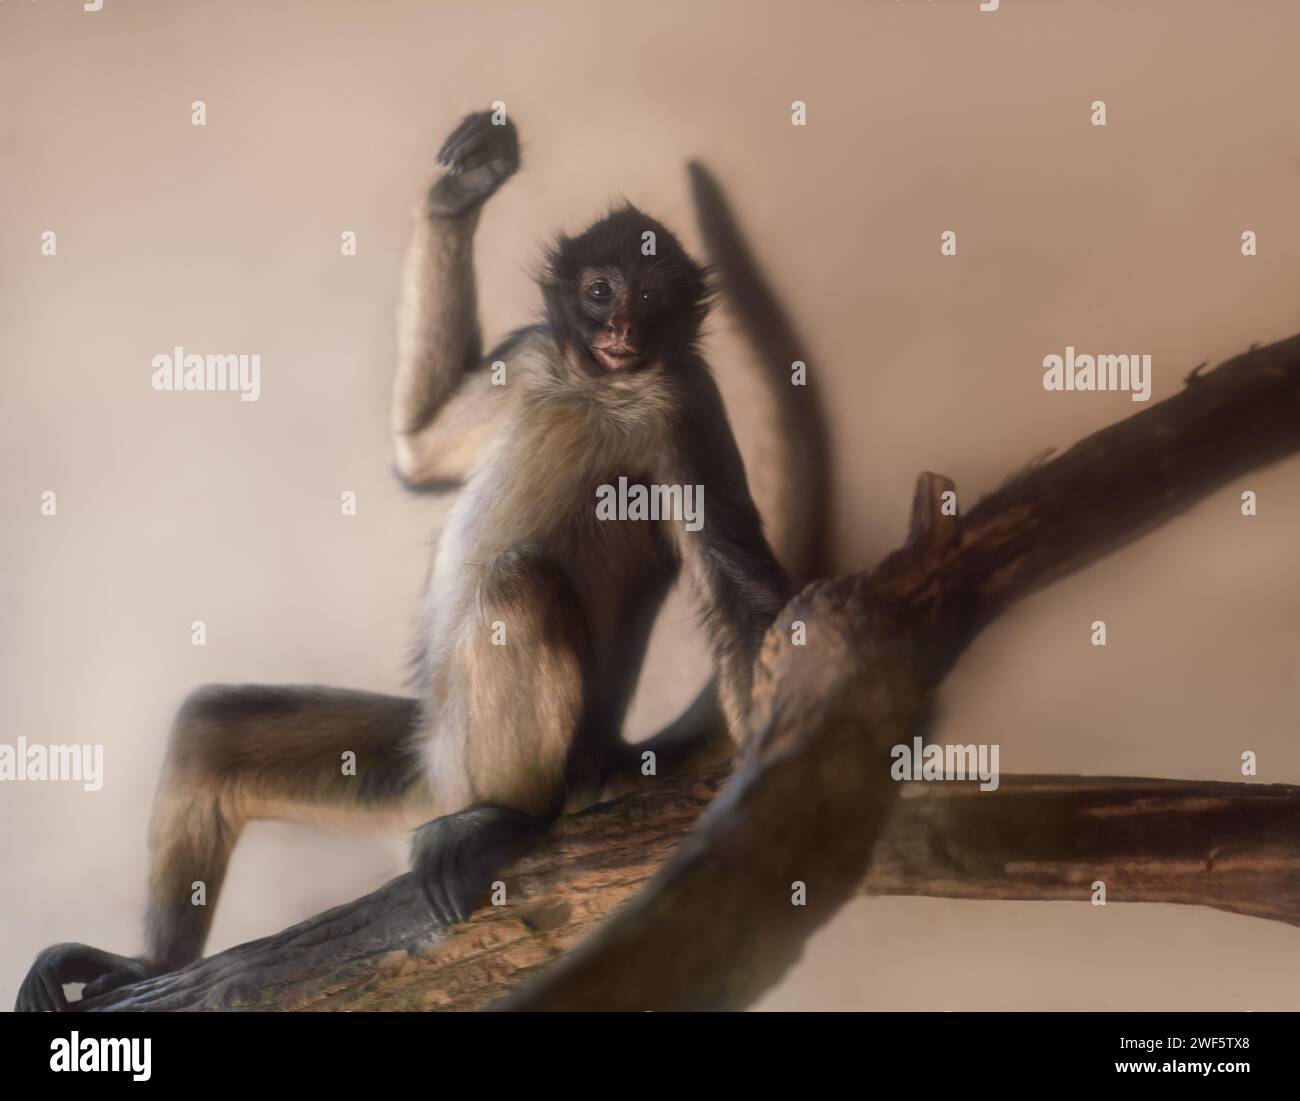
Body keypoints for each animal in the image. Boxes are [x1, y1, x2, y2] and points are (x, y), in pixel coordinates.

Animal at [15, 109, 792, 1011]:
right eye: (601, 291)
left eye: (651, 298)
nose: (619, 331)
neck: (598, 385)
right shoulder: (537, 352)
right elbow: (419, 456)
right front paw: (465, 187)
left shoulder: (684, 404)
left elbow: (736, 590)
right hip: (420, 753)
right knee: (211, 725)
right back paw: (150, 965)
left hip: (477, 755)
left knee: (516, 586)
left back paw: (509, 819)